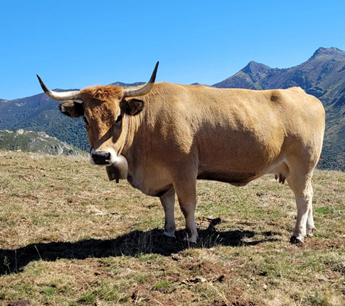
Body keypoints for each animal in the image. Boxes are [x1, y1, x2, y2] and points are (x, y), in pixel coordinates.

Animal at [36, 62, 324, 246]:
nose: (101, 156)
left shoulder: (184, 168)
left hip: (301, 164)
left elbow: (187, 204)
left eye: (119, 117)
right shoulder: (165, 175)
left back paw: (298, 235)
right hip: (296, 169)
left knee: (303, 198)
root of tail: (302, 93)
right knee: (309, 196)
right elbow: (167, 203)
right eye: (85, 118)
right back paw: (309, 229)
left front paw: (192, 236)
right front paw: (168, 232)